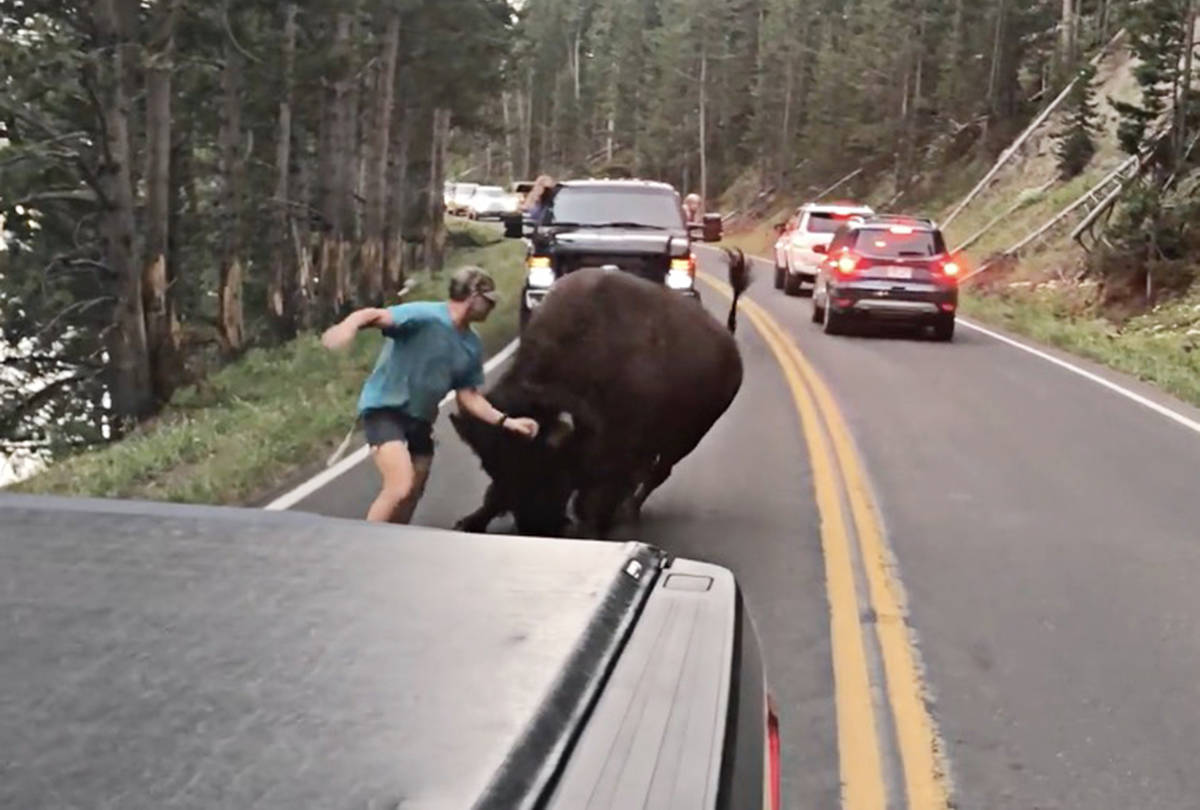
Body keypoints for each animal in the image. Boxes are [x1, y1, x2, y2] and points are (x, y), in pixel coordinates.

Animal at [451, 248, 748, 537]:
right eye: (491, 466)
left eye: (544, 465)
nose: (535, 526)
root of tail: (729, 343)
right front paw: (469, 521)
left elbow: (599, 495)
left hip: (688, 438)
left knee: (657, 473)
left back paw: (628, 511)